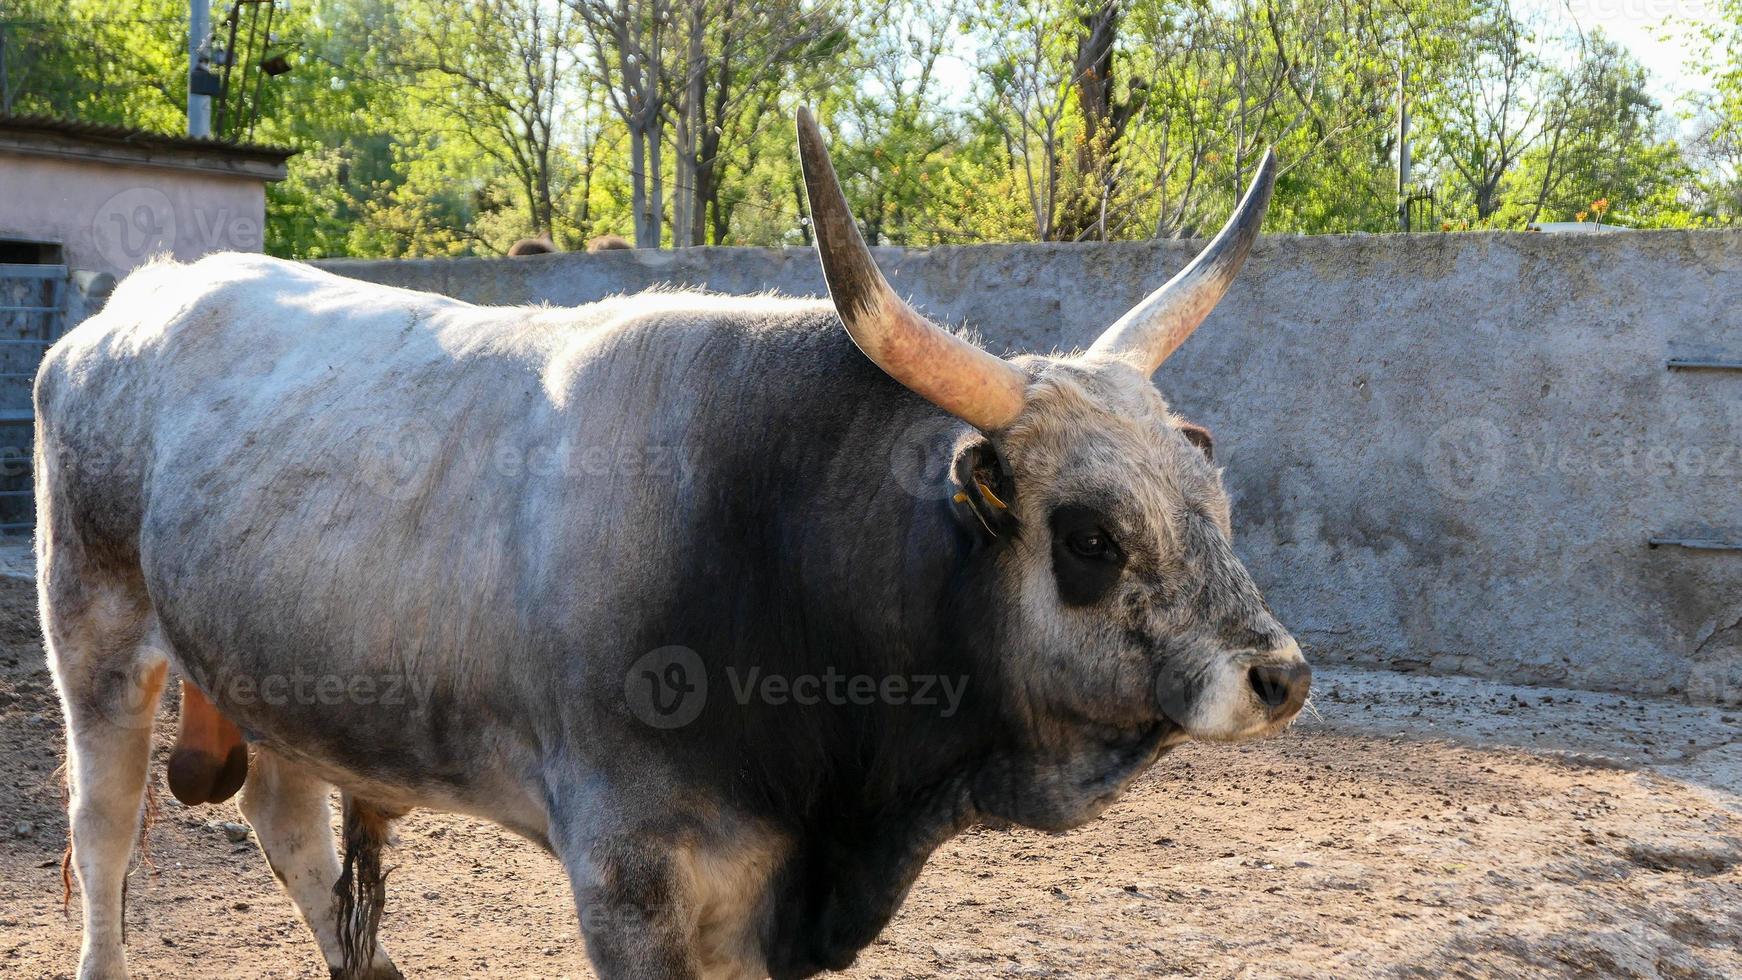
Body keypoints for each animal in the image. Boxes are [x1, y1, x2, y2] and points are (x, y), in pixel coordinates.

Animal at [40, 111, 1309, 974]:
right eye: (1089, 534)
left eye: (1212, 495)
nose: (1278, 675)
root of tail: (133, 303)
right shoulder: (628, 880)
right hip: (94, 634)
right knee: (101, 830)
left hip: (279, 667)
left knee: (285, 816)